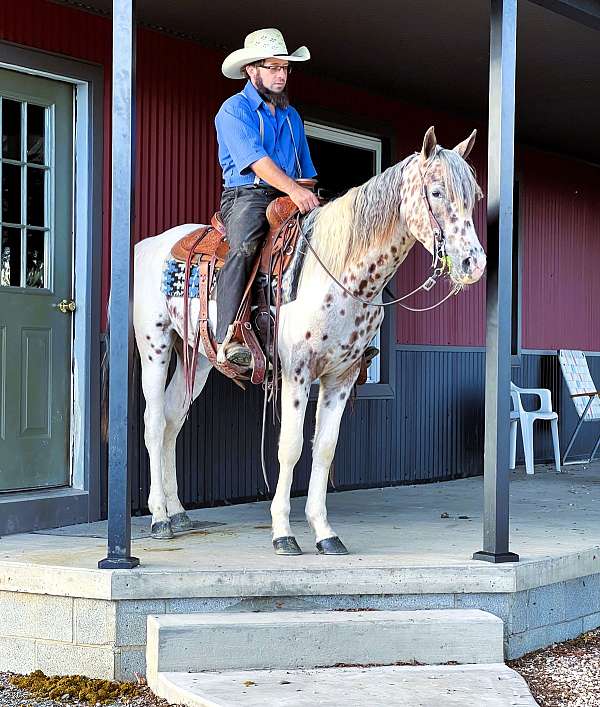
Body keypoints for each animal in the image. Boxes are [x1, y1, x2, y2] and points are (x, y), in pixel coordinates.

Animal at [134, 130, 486, 556]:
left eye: (474, 196)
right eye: (436, 191)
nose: (473, 264)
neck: (338, 271)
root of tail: (150, 245)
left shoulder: (342, 376)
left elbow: (324, 448)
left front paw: (324, 532)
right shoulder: (297, 373)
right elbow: (291, 447)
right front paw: (283, 532)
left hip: (199, 358)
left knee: (173, 418)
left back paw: (178, 511)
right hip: (154, 345)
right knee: (154, 422)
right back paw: (158, 517)